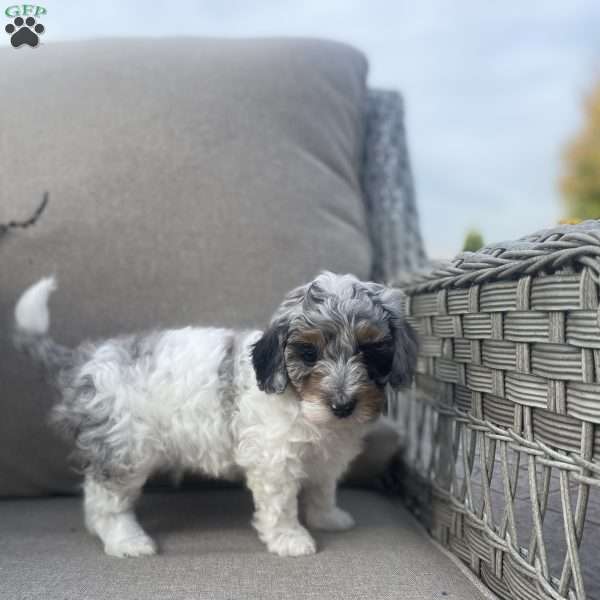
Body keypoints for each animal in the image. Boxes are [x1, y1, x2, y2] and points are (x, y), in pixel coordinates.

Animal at [14, 272, 418, 556]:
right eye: (308, 354)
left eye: (370, 350)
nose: (343, 405)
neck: (303, 404)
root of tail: (84, 361)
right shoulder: (275, 461)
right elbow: (281, 505)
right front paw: (291, 539)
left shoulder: (326, 458)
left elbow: (322, 489)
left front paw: (327, 518)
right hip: (125, 447)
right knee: (106, 501)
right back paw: (127, 541)